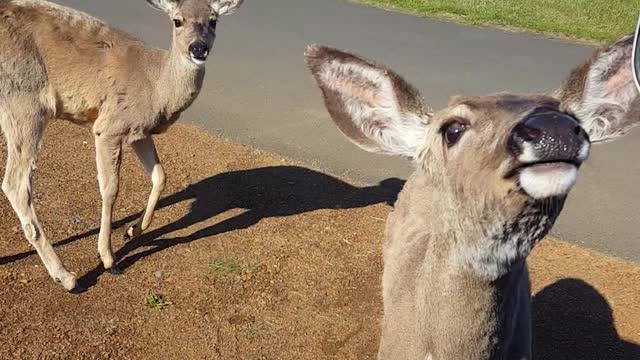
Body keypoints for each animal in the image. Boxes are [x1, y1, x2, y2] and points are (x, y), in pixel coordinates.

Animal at [0, 0, 245, 292]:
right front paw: (109, 258)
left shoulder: (139, 131)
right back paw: (67, 277)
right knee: (16, 184)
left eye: (213, 21)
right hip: (25, 103)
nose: (198, 48)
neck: (155, 86)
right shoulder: (110, 126)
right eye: (177, 20)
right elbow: (110, 189)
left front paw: (131, 231)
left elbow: (161, 176)